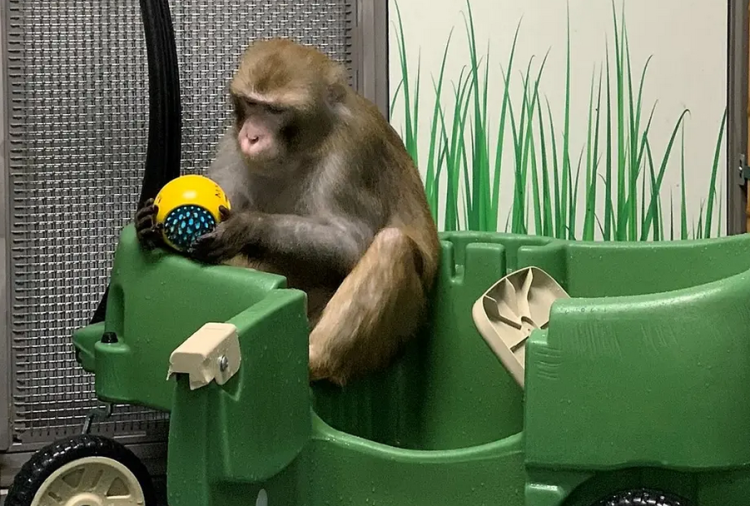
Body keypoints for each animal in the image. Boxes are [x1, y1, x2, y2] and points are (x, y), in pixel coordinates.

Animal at [135, 38, 441, 386]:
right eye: (251, 104)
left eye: (275, 110)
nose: (251, 136)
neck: (299, 150)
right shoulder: (232, 143)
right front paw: (148, 226)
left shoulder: (351, 153)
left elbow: (351, 243)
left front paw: (248, 227)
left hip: (396, 333)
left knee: (392, 245)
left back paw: (310, 362)